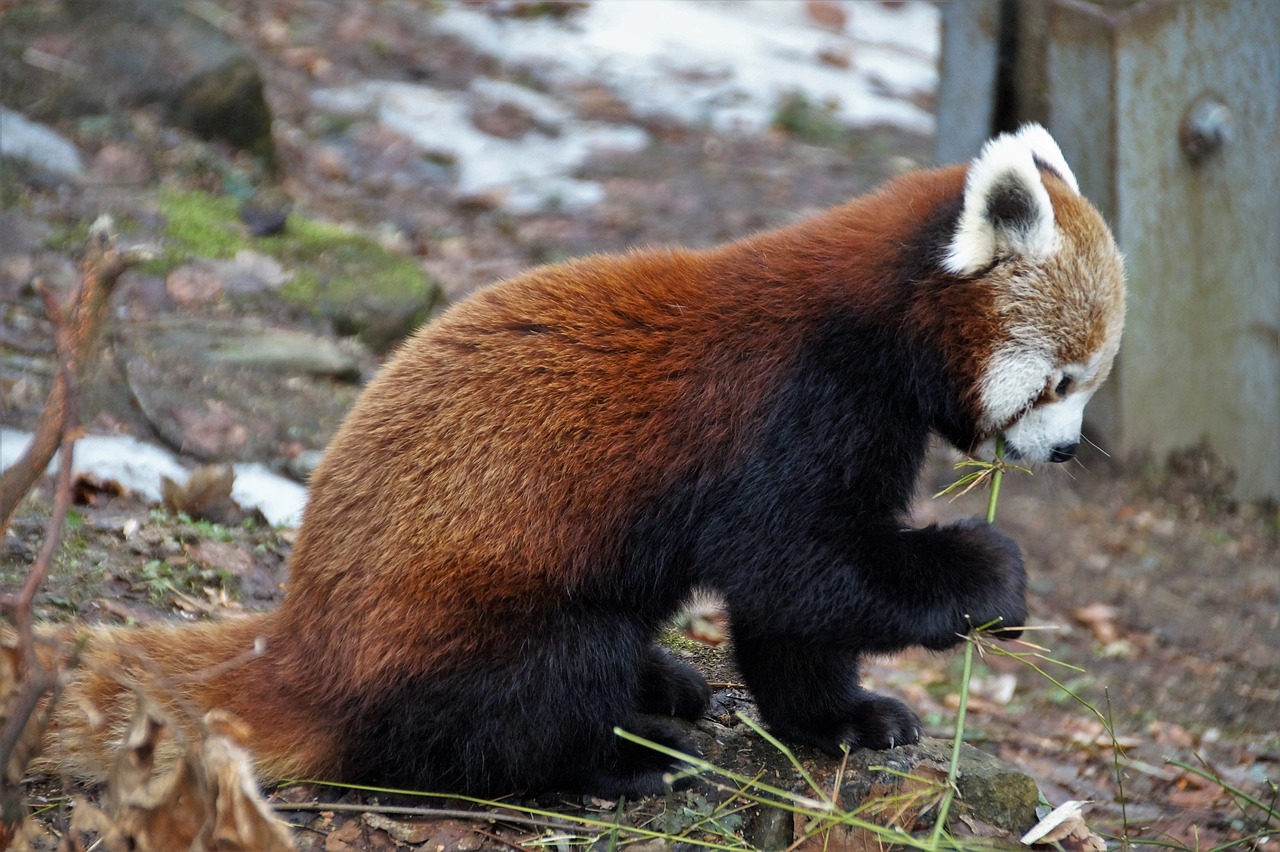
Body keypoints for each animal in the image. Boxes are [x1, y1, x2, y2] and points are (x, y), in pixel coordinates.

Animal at [37, 124, 1121, 798]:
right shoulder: (787, 414)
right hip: (486, 621)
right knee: (531, 699)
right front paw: (987, 580)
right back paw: (622, 759)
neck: (872, 320)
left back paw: (662, 689)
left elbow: (792, 617)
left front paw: (843, 716)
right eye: (1061, 382)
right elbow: (799, 571)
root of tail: (299, 641)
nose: (1067, 449)